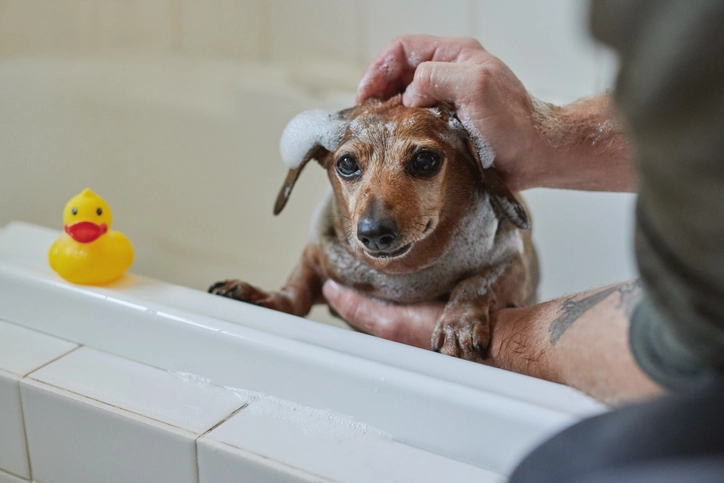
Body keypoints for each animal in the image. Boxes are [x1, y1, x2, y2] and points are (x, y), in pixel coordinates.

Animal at [209, 95, 536, 364]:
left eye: (425, 159)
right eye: (346, 163)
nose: (374, 233)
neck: (396, 273)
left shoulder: (513, 263)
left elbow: (475, 283)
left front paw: (458, 325)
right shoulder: (320, 254)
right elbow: (296, 291)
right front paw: (262, 295)